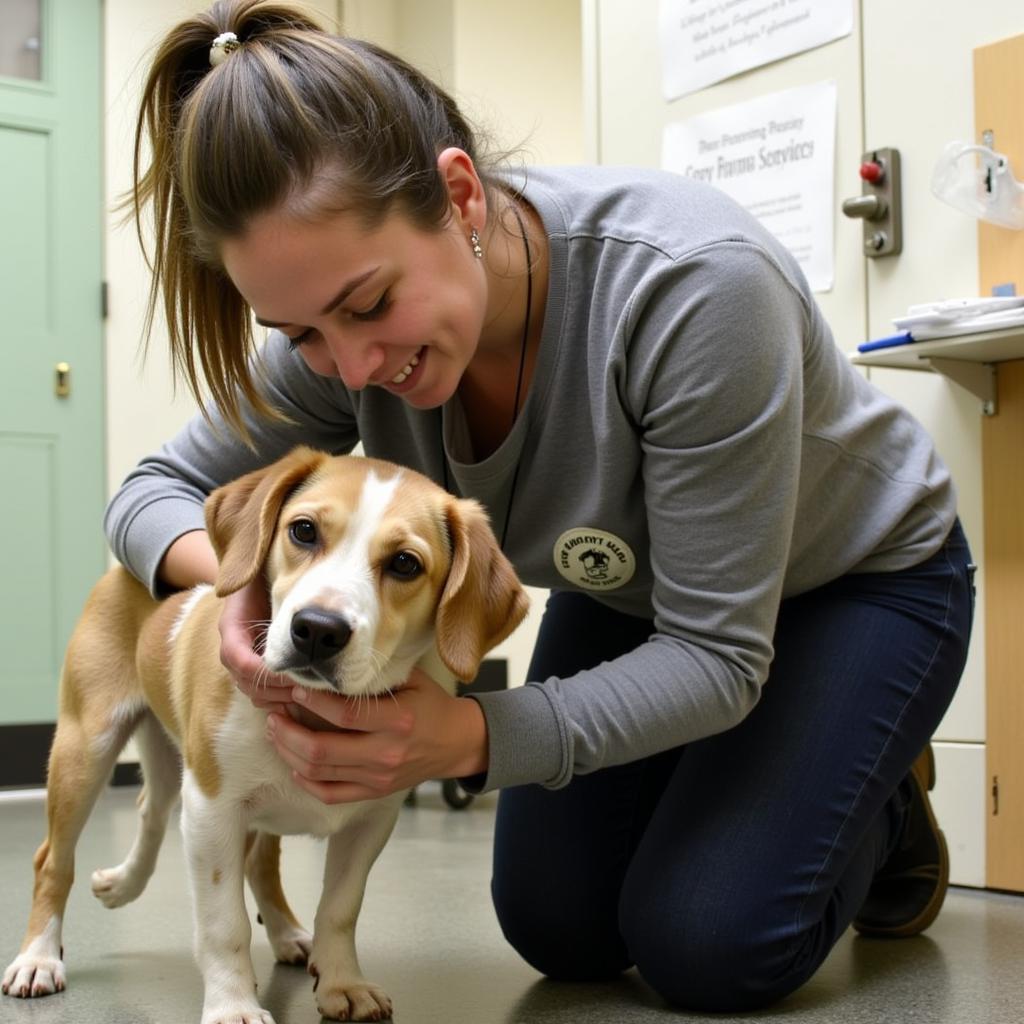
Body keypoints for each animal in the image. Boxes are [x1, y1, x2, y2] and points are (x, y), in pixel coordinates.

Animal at [0, 450, 528, 1024]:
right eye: (304, 530)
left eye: (405, 564)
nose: (317, 629)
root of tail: (123, 569)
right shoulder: (211, 808)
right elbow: (223, 924)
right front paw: (232, 1004)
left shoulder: (372, 820)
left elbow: (340, 908)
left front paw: (342, 981)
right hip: (89, 747)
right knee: (55, 859)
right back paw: (41, 955)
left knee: (179, 823)